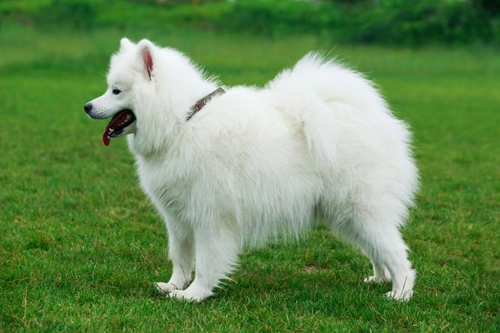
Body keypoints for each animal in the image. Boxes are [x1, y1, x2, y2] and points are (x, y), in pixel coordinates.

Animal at [85, 38, 418, 300]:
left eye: (116, 91)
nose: (87, 106)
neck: (182, 122)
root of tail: (373, 118)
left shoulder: (211, 217)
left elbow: (206, 262)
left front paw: (193, 295)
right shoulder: (178, 218)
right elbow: (180, 258)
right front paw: (173, 287)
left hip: (361, 210)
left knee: (396, 253)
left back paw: (399, 293)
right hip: (345, 216)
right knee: (377, 250)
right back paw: (379, 278)